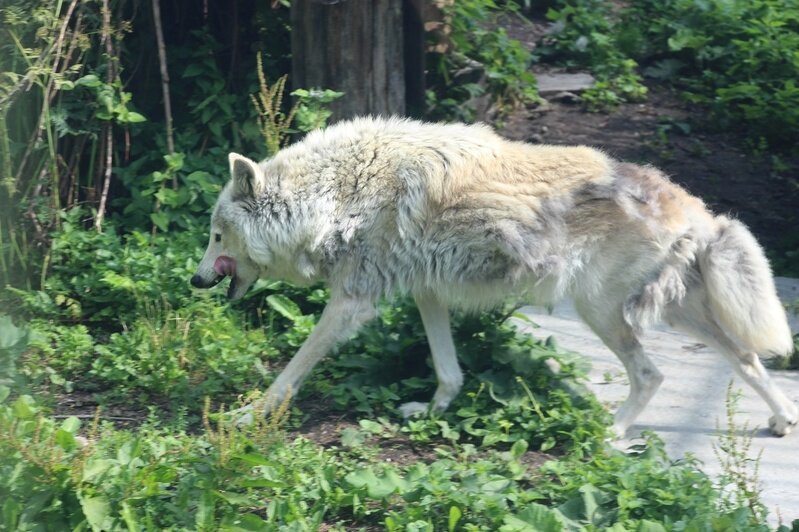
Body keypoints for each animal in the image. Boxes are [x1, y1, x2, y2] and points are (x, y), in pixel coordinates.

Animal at [191, 116, 796, 436]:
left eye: (217, 235)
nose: (195, 281)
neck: (338, 196)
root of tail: (700, 210)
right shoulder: (426, 292)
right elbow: (449, 370)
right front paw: (431, 413)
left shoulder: (351, 303)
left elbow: (290, 372)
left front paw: (244, 416)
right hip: (675, 315)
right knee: (748, 359)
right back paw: (781, 423)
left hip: (603, 312)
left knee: (652, 375)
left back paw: (612, 434)